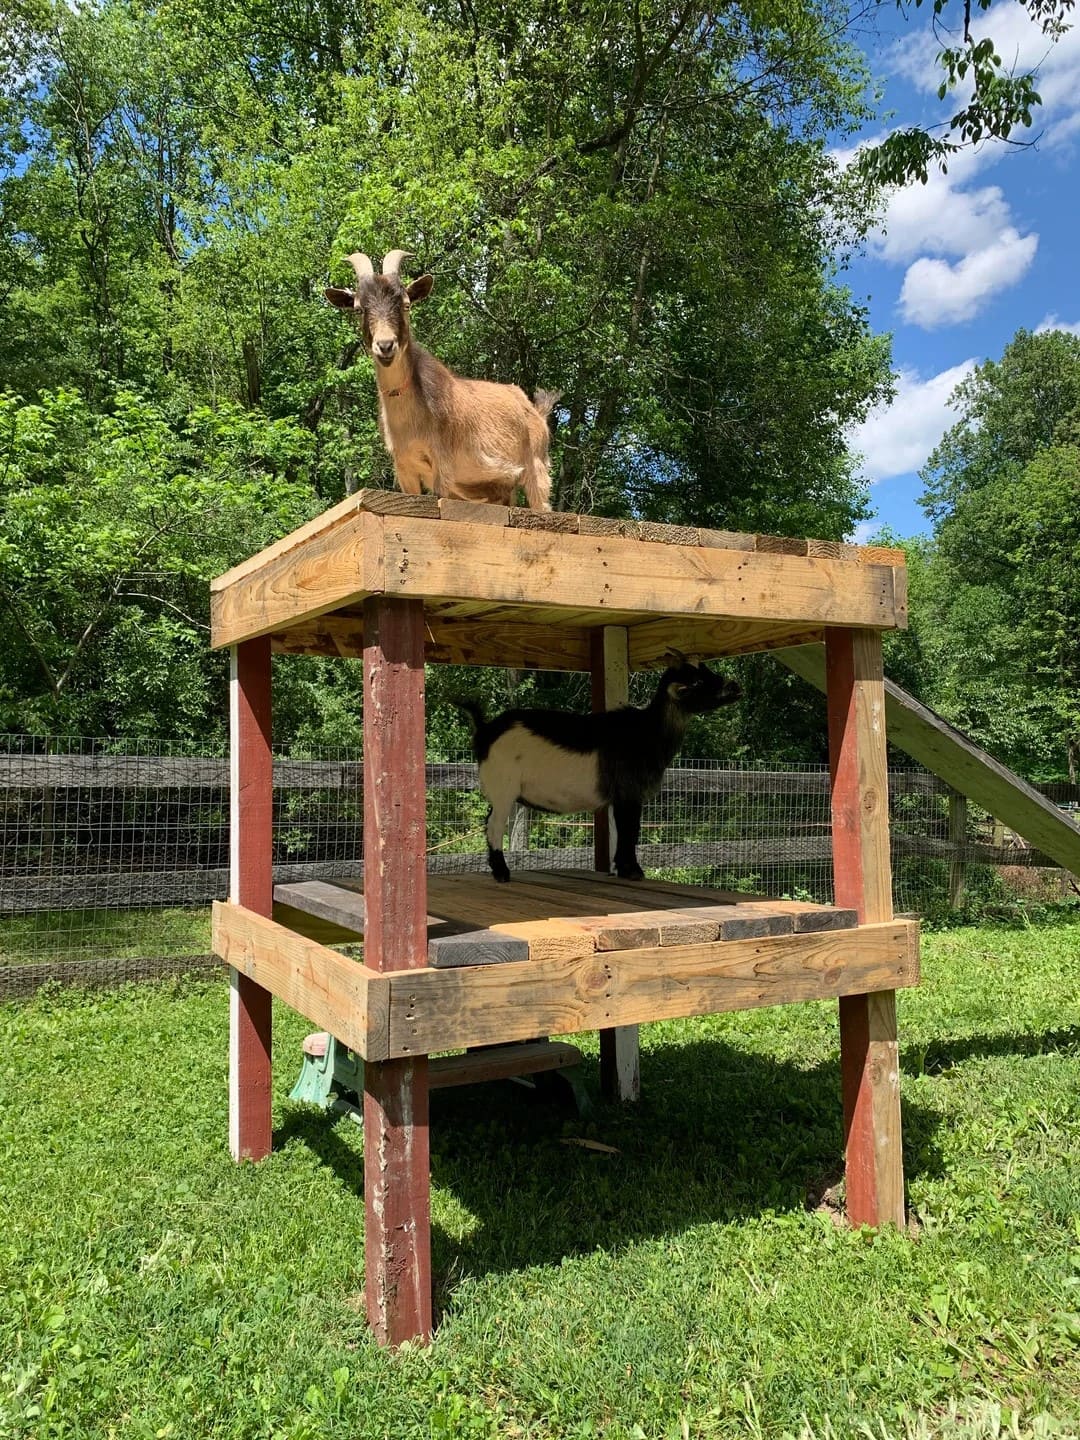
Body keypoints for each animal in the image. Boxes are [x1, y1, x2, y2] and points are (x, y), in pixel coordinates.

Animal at [325, 250, 557, 510]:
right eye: (358, 309)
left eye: (406, 305)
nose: (385, 346)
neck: (410, 421)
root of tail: (536, 411)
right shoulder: (404, 466)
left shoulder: (442, 463)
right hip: (499, 487)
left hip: (536, 468)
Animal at [457, 658, 742, 883]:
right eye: (698, 682)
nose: (735, 686)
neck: (647, 731)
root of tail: (485, 730)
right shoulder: (629, 791)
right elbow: (630, 828)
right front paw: (633, 871)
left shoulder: (618, 796)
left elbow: (620, 828)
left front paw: (623, 868)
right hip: (503, 786)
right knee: (494, 825)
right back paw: (502, 873)